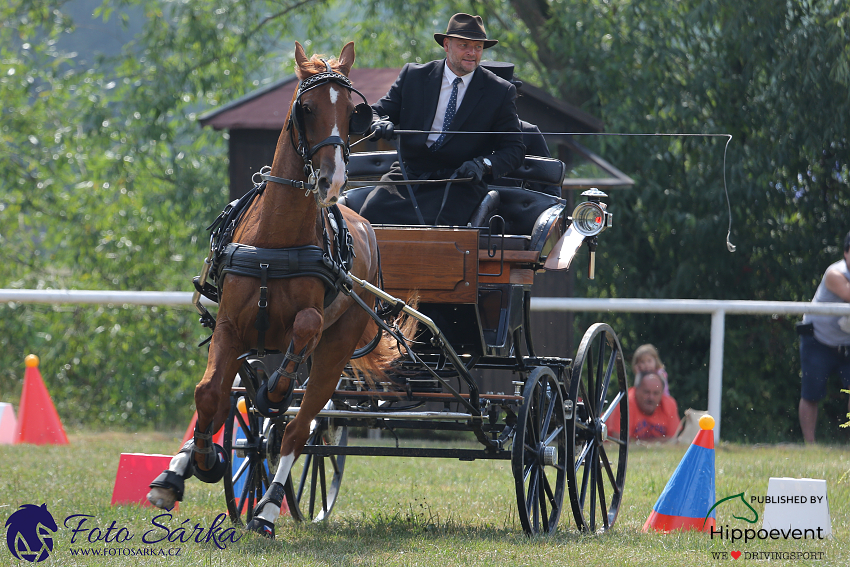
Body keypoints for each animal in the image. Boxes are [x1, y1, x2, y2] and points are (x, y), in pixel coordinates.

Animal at [151, 42, 390, 540]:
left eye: (353, 112)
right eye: (307, 108)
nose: (333, 180)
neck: (273, 242)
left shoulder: (304, 330)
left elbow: (301, 337)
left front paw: (274, 395)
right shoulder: (229, 327)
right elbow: (209, 395)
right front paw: (201, 462)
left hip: (334, 354)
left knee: (300, 428)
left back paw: (266, 507)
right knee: (233, 401)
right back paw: (180, 469)